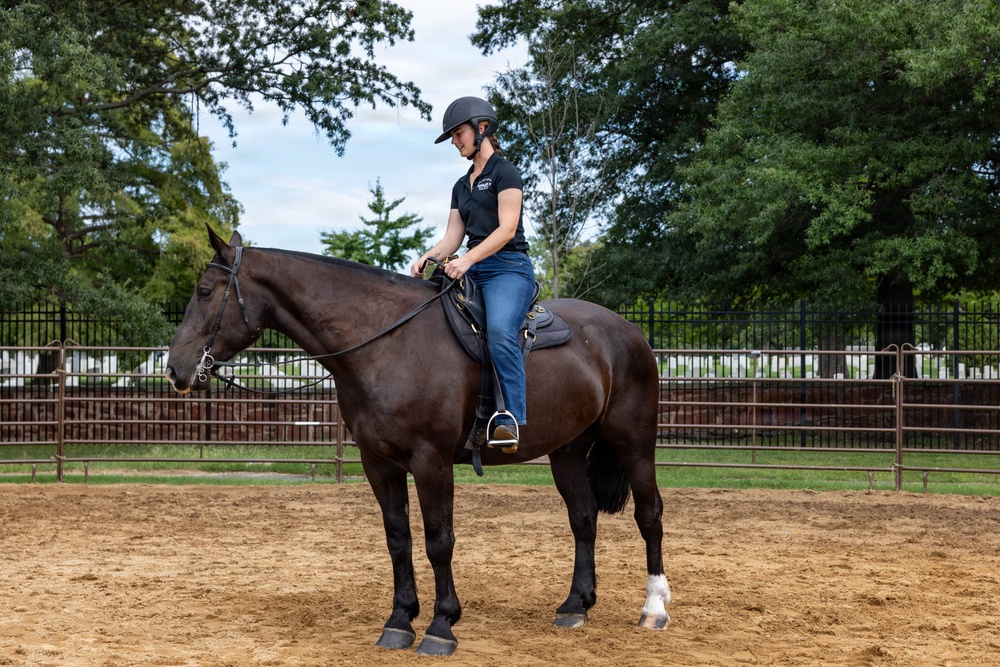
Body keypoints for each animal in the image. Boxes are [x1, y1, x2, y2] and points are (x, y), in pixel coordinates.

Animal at [164, 227, 670, 656]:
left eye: (204, 292)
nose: (175, 369)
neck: (387, 342)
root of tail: (629, 332)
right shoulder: (379, 464)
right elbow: (398, 539)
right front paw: (399, 620)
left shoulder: (432, 462)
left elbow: (438, 541)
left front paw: (441, 626)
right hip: (567, 450)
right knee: (583, 517)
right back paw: (574, 605)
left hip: (634, 441)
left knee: (649, 514)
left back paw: (654, 608)